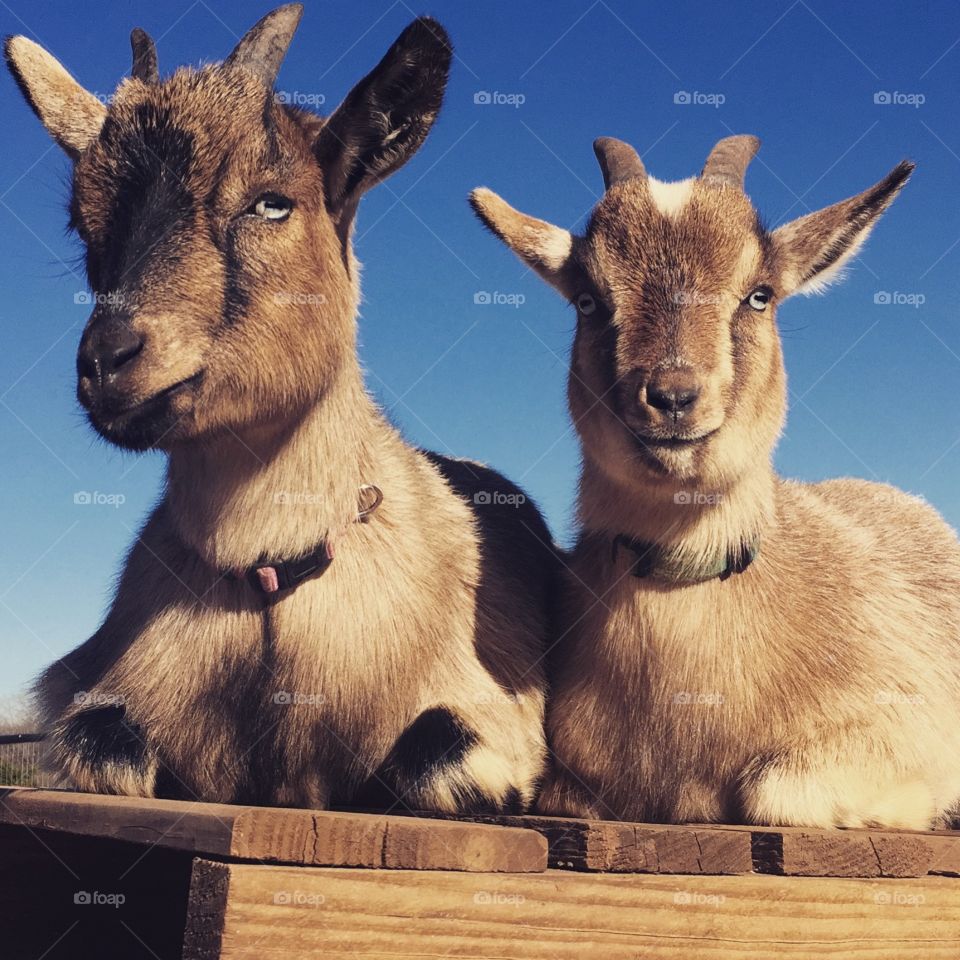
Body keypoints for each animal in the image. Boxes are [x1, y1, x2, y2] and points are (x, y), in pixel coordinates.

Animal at [5, 5, 555, 812]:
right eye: (82, 222)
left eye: (272, 202)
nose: (108, 360)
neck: (269, 577)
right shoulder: (91, 699)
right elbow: (106, 745)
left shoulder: (500, 719)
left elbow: (435, 760)